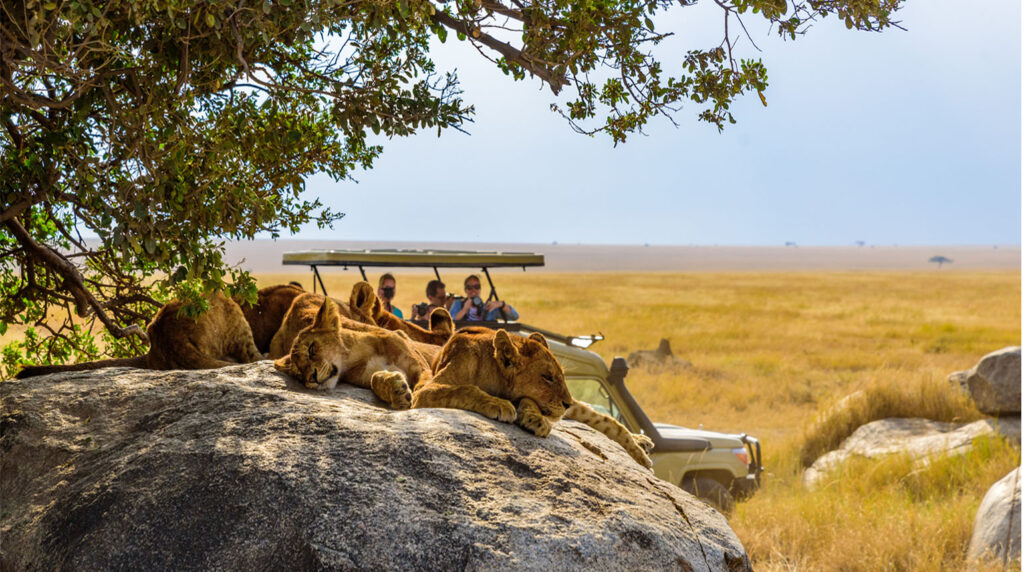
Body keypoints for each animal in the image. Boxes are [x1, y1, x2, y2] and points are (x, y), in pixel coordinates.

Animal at [270, 294, 425, 411]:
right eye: (298, 373)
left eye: (311, 349)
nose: (312, 379)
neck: (357, 357)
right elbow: (375, 378)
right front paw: (397, 392)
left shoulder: (418, 364)